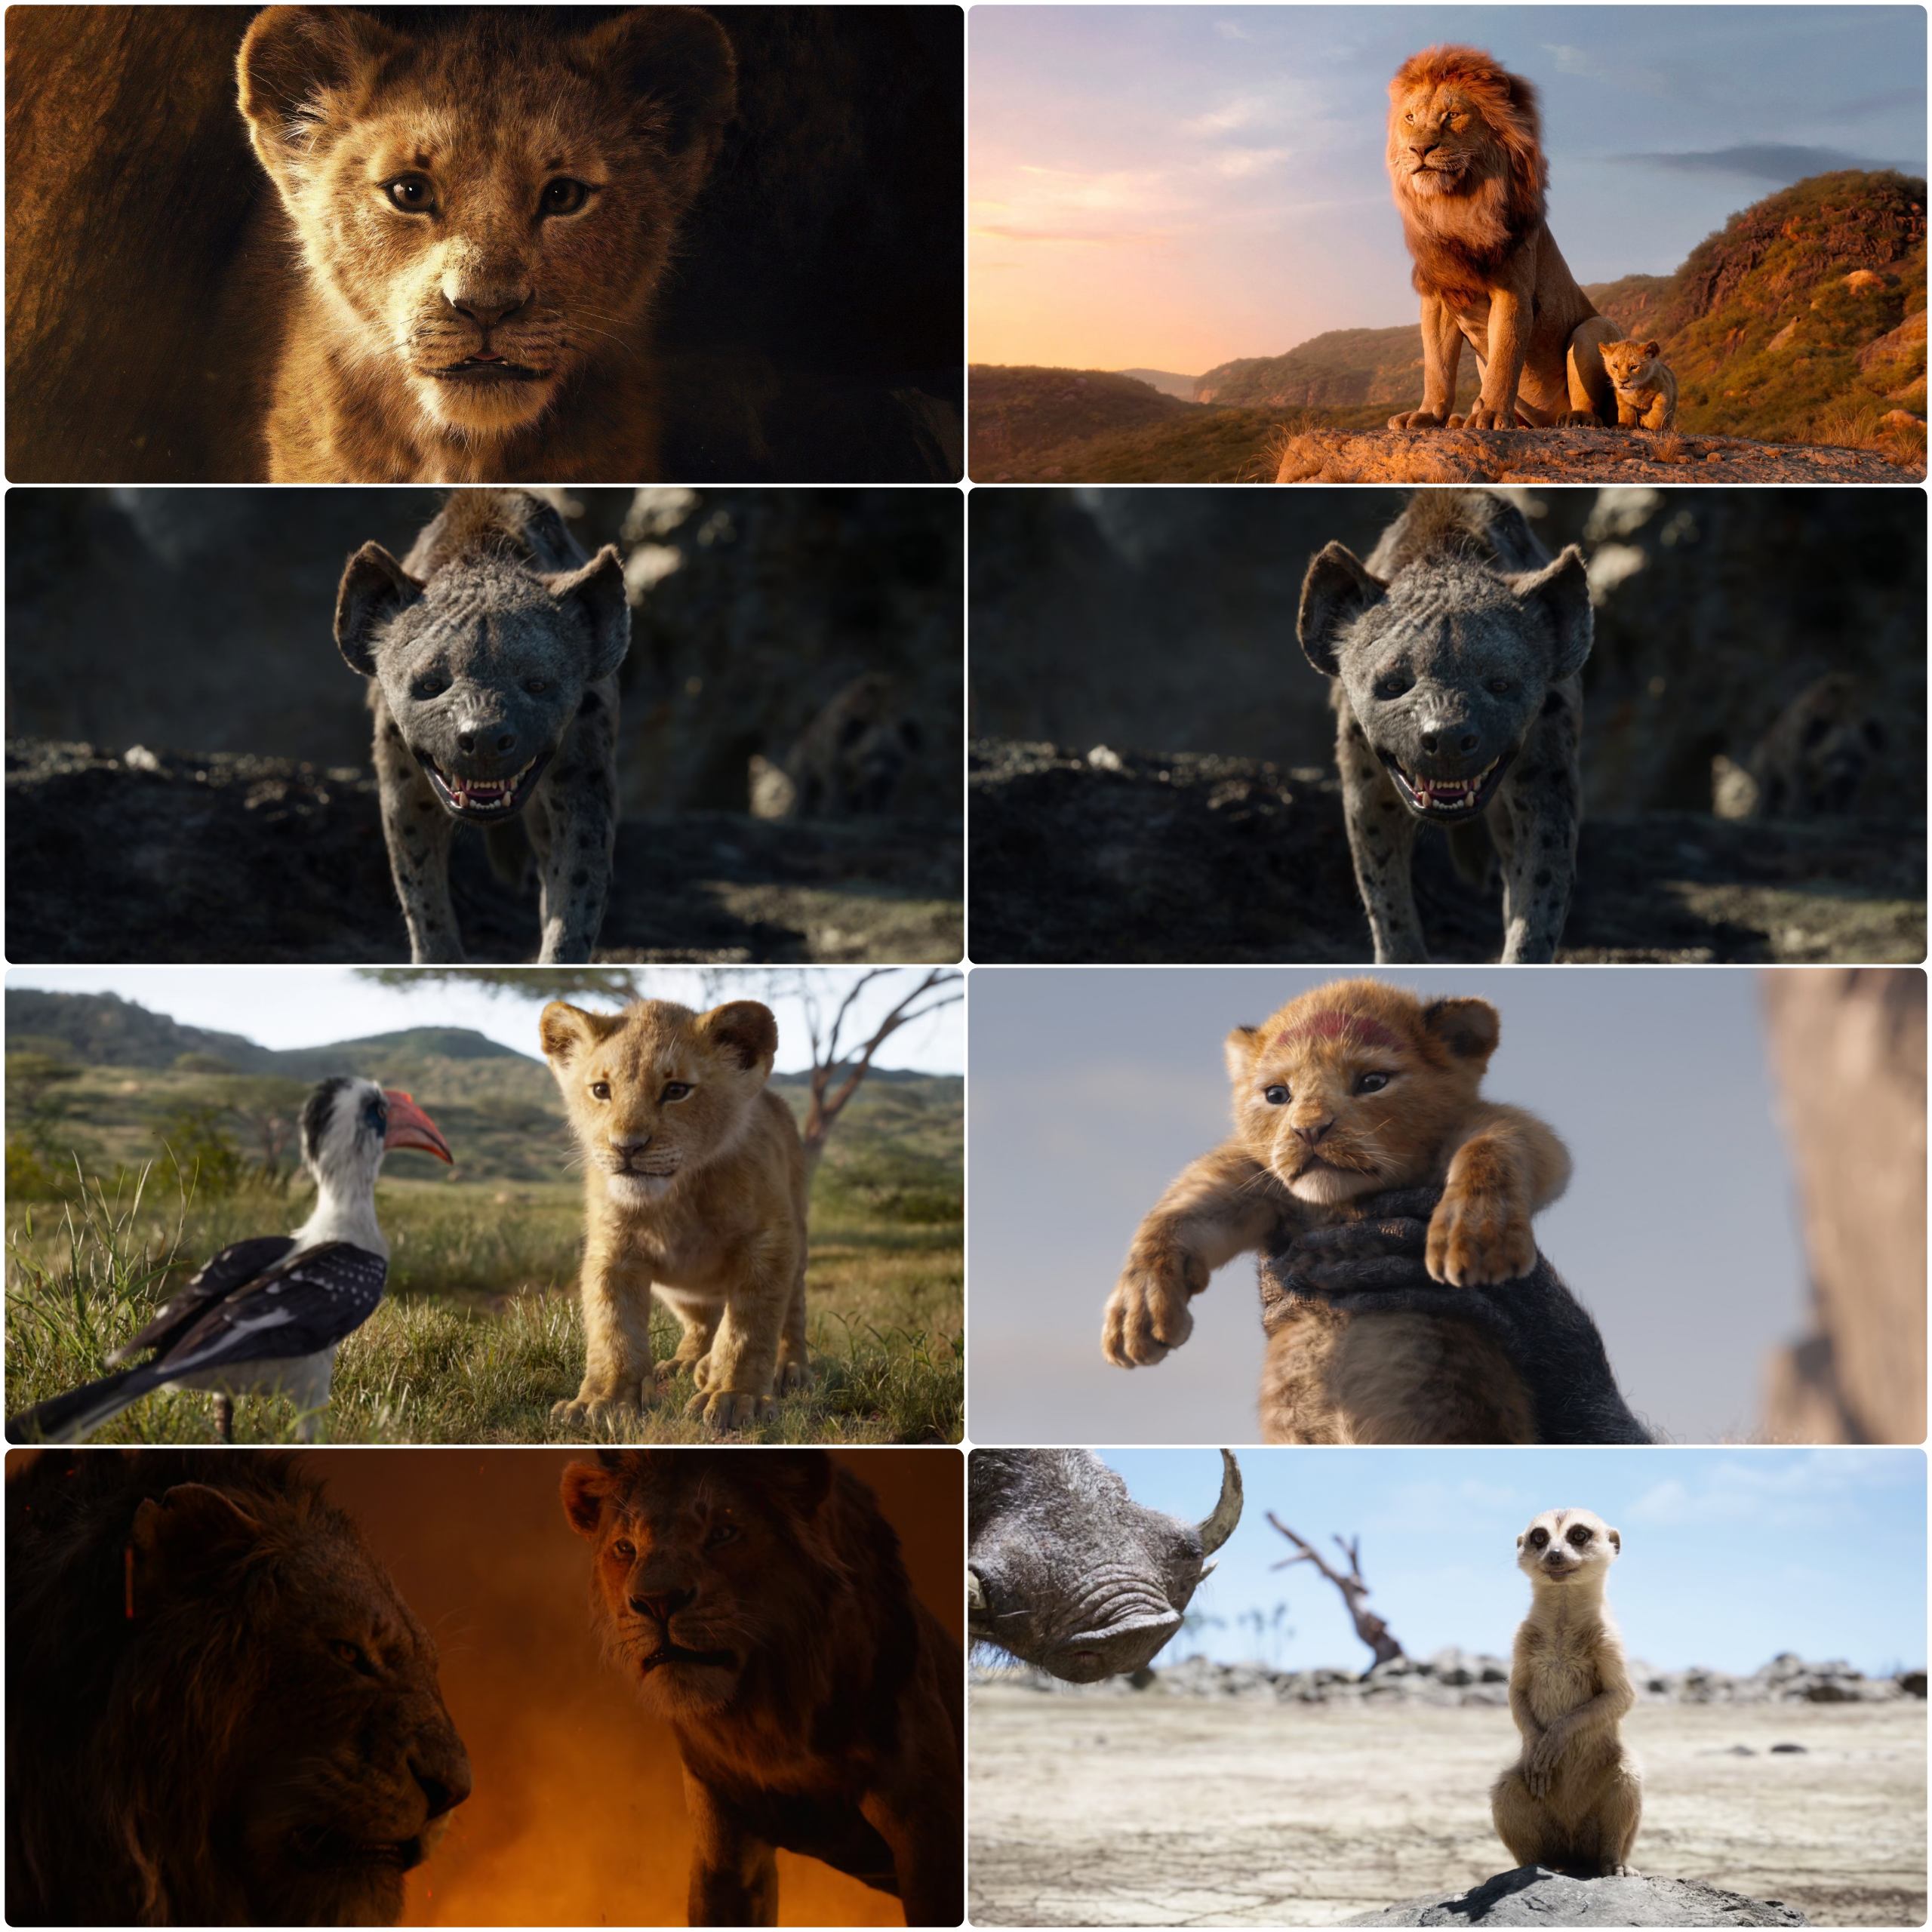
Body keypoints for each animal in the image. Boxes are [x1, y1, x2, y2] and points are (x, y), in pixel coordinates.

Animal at [540, 998, 809, 1435]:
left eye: (676, 1090)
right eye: (601, 1090)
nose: (626, 1146)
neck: (677, 1198)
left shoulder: (767, 1242)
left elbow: (749, 1328)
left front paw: (734, 1397)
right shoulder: (613, 1251)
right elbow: (613, 1328)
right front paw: (603, 1402)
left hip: (798, 1237)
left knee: (792, 1313)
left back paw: (788, 1368)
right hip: (682, 1290)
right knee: (702, 1321)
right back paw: (686, 1363)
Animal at [561, 1449, 964, 1926]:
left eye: (723, 1533)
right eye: (625, 1548)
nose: (658, 1602)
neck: (772, 1721)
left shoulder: (929, 1838)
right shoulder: (726, 1858)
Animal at [1102, 978, 1575, 1442]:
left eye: (1373, 1081)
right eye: (1277, 1094)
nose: (1309, 1130)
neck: (1342, 1206)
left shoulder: (1504, 1132)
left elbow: (1494, 1145)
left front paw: (1476, 1236)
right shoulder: (1258, 1183)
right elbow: (1180, 1210)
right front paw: (1137, 1313)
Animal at [1385, 45, 1620, 432]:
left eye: (1452, 115)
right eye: (1410, 117)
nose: (1420, 149)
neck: (1455, 206)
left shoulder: (1513, 291)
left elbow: (1505, 359)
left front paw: (1493, 414)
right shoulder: (1439, 295)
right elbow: (1437, 366)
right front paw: (1428, 414)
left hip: (1593, 329)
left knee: (1596, 404)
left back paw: (1577, 418)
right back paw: (1463, 419)